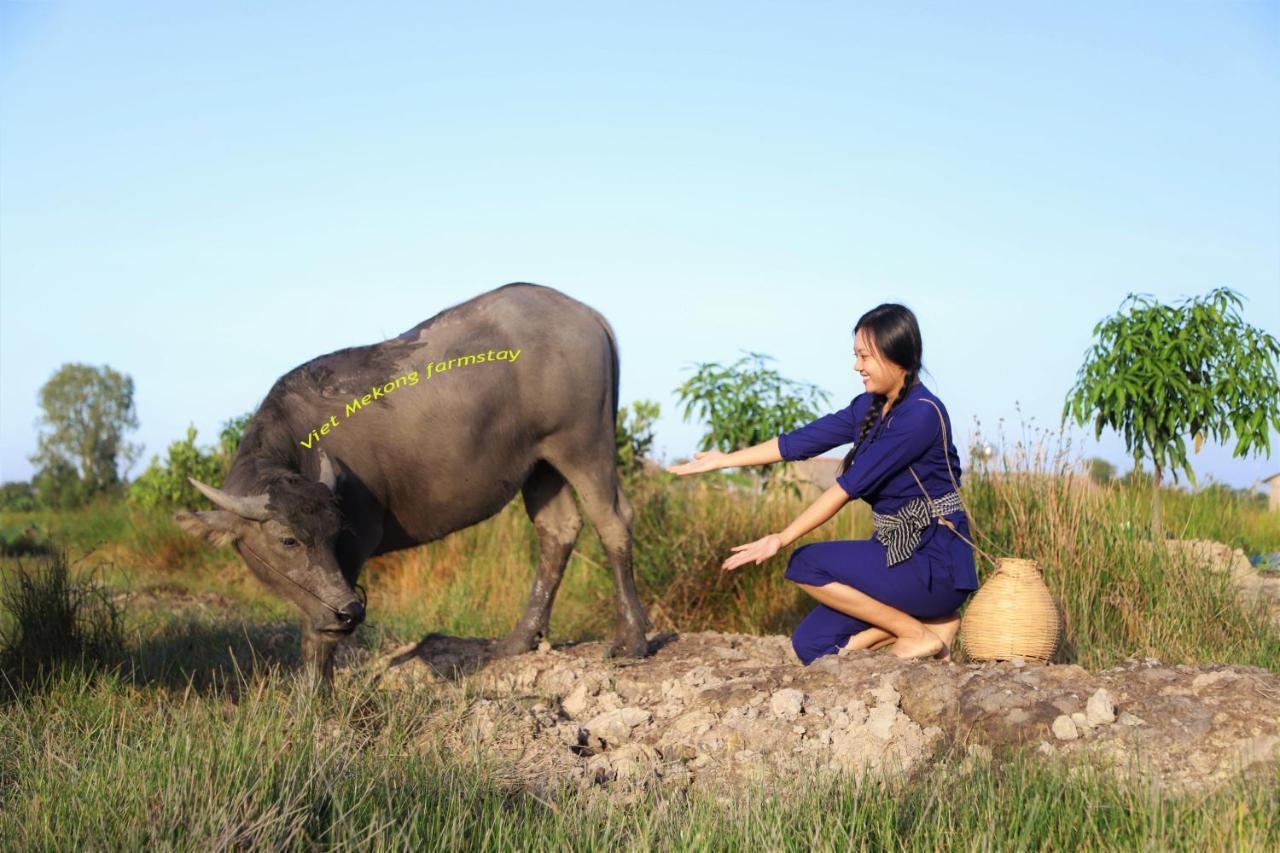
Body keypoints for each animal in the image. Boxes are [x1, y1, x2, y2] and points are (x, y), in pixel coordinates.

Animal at [175, 281, 650, 681]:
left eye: (335, 531)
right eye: (288, 540)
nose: (351, 611)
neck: (299, 440)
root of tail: (586, 313)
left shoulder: (355, 546)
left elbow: (318, 632)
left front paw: (314, 696)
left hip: (584, 444)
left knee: (614, 520)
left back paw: (633, 640)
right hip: (540, 465)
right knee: (559, 529)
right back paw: (518, 641)